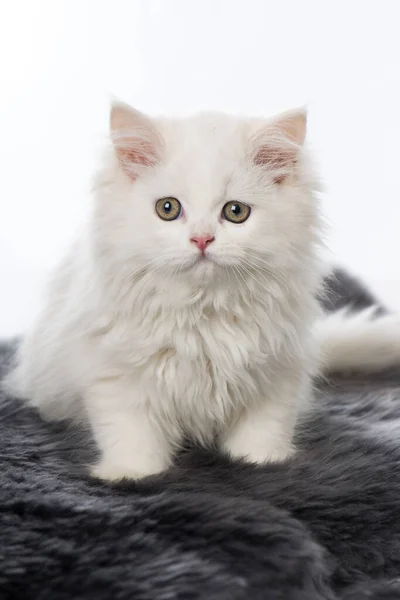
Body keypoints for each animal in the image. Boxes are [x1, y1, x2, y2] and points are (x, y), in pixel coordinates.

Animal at [5, 102, 400, 478]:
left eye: (236, 212)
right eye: (168, 208)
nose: (202, 239)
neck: (205, 308)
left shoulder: (275, 373)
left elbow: (262, 431)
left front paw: (262, 464)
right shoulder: (118, 378)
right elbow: (132, 437)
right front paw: (130, 476)